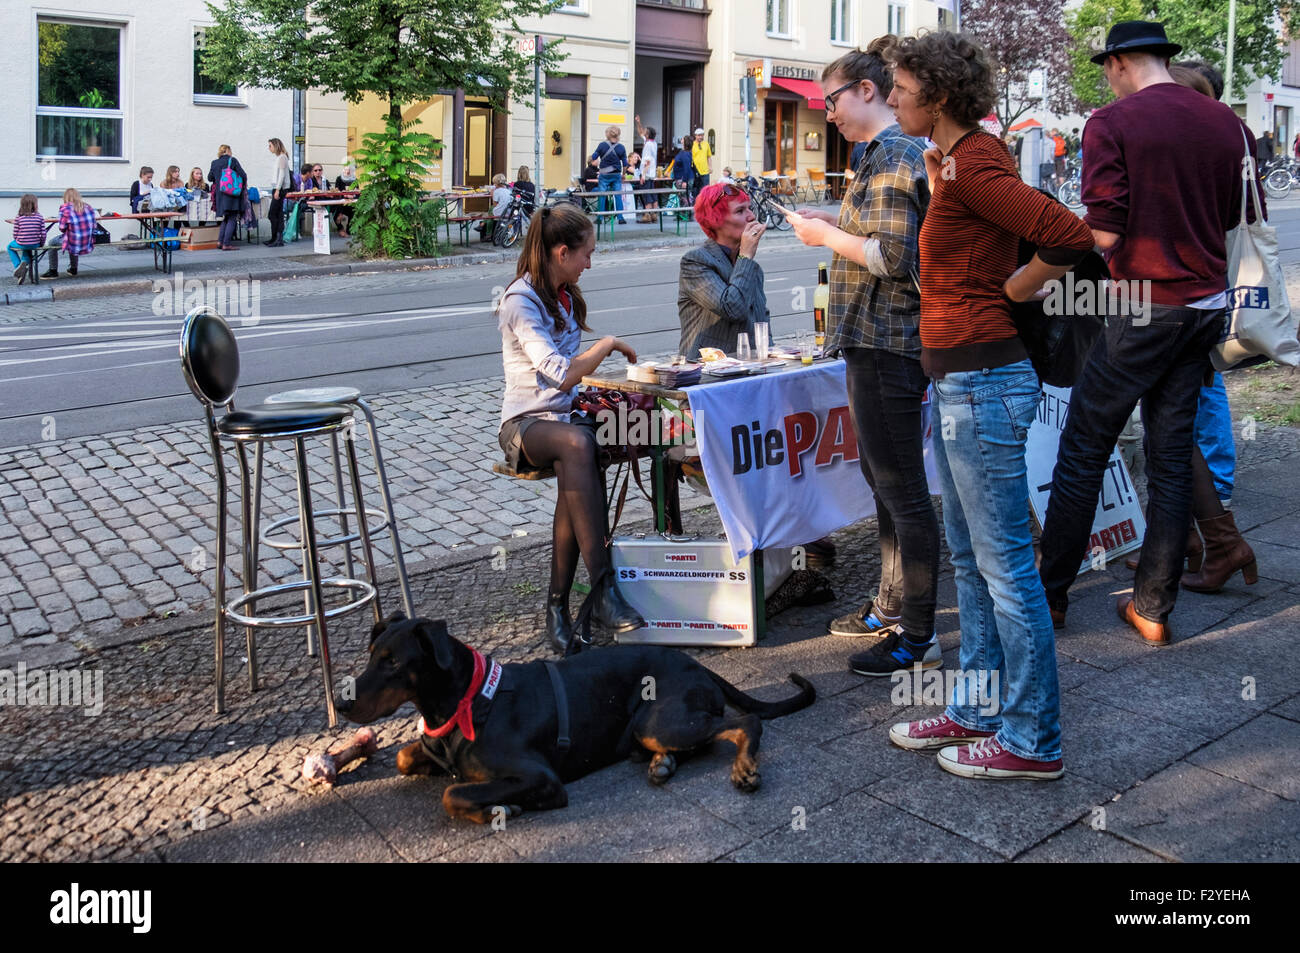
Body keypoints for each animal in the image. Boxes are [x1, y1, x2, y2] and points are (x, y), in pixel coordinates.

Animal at [340, 613, 816, 821]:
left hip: (658, 720)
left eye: (393, 662)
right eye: (371, 653)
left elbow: (452, 793)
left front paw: (503, 808)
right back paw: (661, 764)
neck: (465, 703)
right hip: (651, 728)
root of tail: (697, 664)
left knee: (745, 723)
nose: (343, 704)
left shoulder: (541, 776)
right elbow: (404, 757)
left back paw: (744, 769)